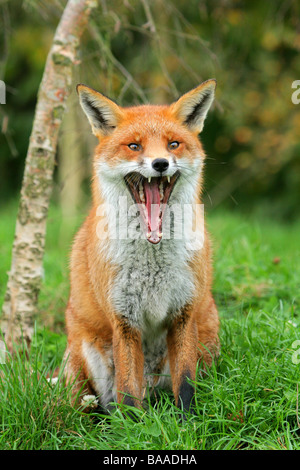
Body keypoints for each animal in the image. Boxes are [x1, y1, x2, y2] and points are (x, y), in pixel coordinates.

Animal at [64, 80, 219, 414]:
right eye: (134, 146)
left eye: (173, 144)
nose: (160, 164)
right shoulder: (123, 320)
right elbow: (127, 393)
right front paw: (133, 424)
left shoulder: (184, 313)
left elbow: (185, 384)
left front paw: (187, 421)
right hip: (86, 356)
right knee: (101, 403)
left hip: (209, 336)